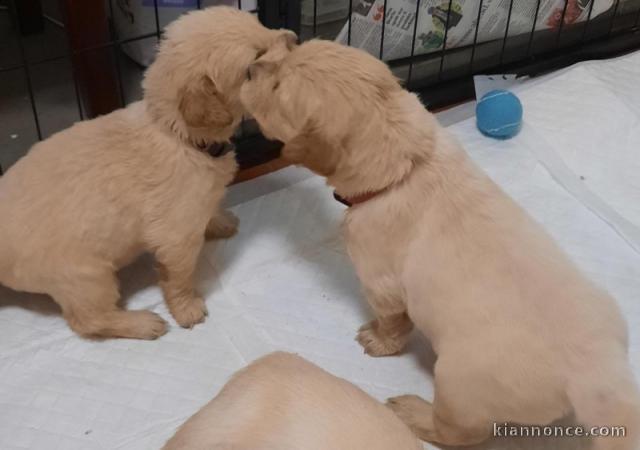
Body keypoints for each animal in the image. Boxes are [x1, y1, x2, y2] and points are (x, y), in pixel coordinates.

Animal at [0, 7, 296, 340]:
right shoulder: (175, 238)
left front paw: (221, 222)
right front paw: (187, 310)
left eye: (261, 26)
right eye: (254, 62)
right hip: (87, 278)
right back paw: (142, 322)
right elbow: (178, 278)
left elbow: (209, 212)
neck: (178, 134)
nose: (295, 38)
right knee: (88, 320)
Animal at [240, 39, 640, 450]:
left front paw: (378, 339)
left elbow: (393, 321)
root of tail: (599, 375)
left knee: (461, 432)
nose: (250, 68)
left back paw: (414, 412)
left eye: (277, 89)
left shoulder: (381, 282)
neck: (407, 166)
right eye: (290, 51)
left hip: (459, 385)